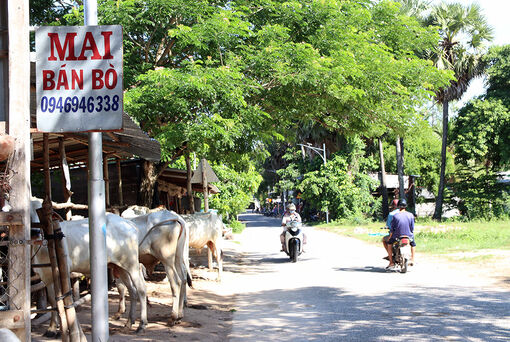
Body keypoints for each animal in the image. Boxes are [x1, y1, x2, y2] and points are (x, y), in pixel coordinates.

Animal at [30, 199, 147, 336]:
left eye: (40, 213)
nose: (35, 232)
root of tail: (130, 224)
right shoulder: (46, 276)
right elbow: (53, 300)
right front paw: (53, 328)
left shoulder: (58, 271)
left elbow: (58, 300)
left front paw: (59, 328)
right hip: (120, 267)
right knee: (132, 290)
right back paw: (129, 322)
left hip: (131, 263)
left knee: (141, 289)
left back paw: (142, 324)